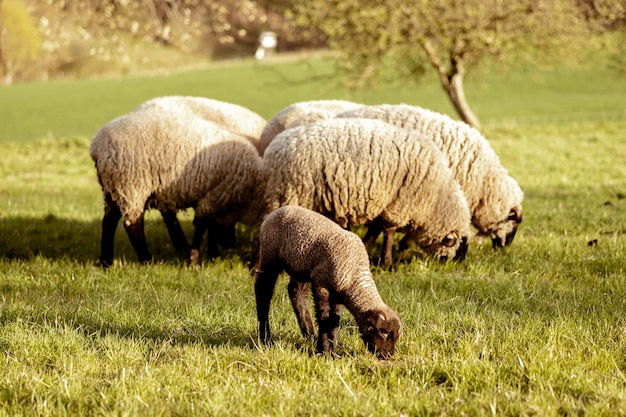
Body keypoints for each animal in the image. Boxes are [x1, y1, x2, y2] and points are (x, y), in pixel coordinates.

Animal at [89, 107, 266, 266]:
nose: (229, 245)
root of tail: (97, 146)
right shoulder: (215, 194)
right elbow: (203, 224)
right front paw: (196, 258)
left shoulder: (214, 198)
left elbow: (210, 224)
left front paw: (211, 254)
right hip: (132, 184)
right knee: (132, 225)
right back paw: (147, 260)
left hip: (113, 187)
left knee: (109, 221)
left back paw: (106, 261)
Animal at [252, 205, 400, 358]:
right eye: (383, 331)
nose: (388, 355)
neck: (354, 273)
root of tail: (277, 211)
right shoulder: (322, 284)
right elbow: (325, 318)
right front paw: (325, 351)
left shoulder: (338, 293)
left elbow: (334, 320)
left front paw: (334, 345)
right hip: (270, 254)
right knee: (263, 290)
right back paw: (265, 338)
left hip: (302, 267)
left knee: (296, 293)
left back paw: (309, 334)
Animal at [258, 116, 468, 264]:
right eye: (456, 247)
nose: (449, 265)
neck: (437, 197)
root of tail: (274, 148)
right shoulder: (398, 203)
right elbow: (388, 231)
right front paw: (387, 263)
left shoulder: (384, 203)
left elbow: (375, 229)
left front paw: (366, 249)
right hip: (288, 192)